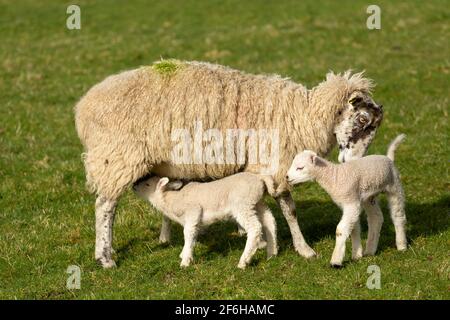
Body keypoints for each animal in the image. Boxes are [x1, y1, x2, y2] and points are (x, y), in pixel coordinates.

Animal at [74, 59, 384, 268]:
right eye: (361, 120)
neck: (304, 115)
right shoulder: (274, 163)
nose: (357, 165)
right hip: (116, 158)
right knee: (105, 207)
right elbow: (289, 209)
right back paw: (105, 257)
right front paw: (304, 249)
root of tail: (82, 107)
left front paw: (257, 239)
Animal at [288, 135, 408, 268]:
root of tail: (388, 158)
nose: (287, 177)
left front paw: (336, 261)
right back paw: (370, 250)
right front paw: (357, 255)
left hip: (394, 186)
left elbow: (340, 230)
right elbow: (353, 228)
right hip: (369, 197)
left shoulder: (351, 203)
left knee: (398, 215)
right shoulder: (348, 203)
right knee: (376, 218)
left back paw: (402, 246)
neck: (335, 177)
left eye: (300, 167)